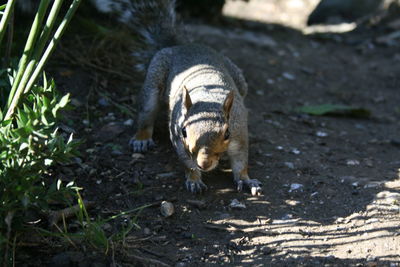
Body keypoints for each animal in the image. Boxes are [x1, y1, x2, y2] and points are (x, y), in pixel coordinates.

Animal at [93, 0, 262, 197]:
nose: (204, 164)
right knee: (146, 114)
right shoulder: (179, 140)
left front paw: (246, 180)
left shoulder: (240, 133)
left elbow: (241, 161)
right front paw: (194, 180)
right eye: (184, 132)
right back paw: (141, 139)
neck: (208, 102)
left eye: (227, 133)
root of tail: (182, 46)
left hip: (240, 80)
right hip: (154, 79)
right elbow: (187, 162)